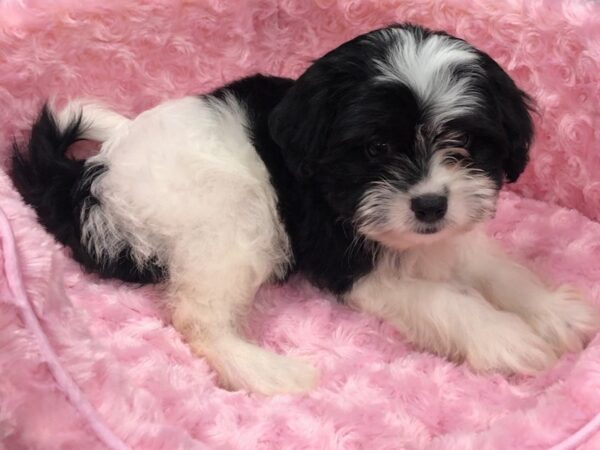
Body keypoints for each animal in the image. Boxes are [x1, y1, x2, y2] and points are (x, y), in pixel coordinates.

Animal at [10, 23, 600, 394]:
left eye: (464, 142)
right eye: (376, 149)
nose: (430, 205)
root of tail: (91, 176)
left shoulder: (450, 233)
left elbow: (494, 267)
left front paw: (553, 310)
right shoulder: (345, 258)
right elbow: (444, 300)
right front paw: (504, 338)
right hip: (234, 217)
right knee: (196, 317)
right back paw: (266, 373)